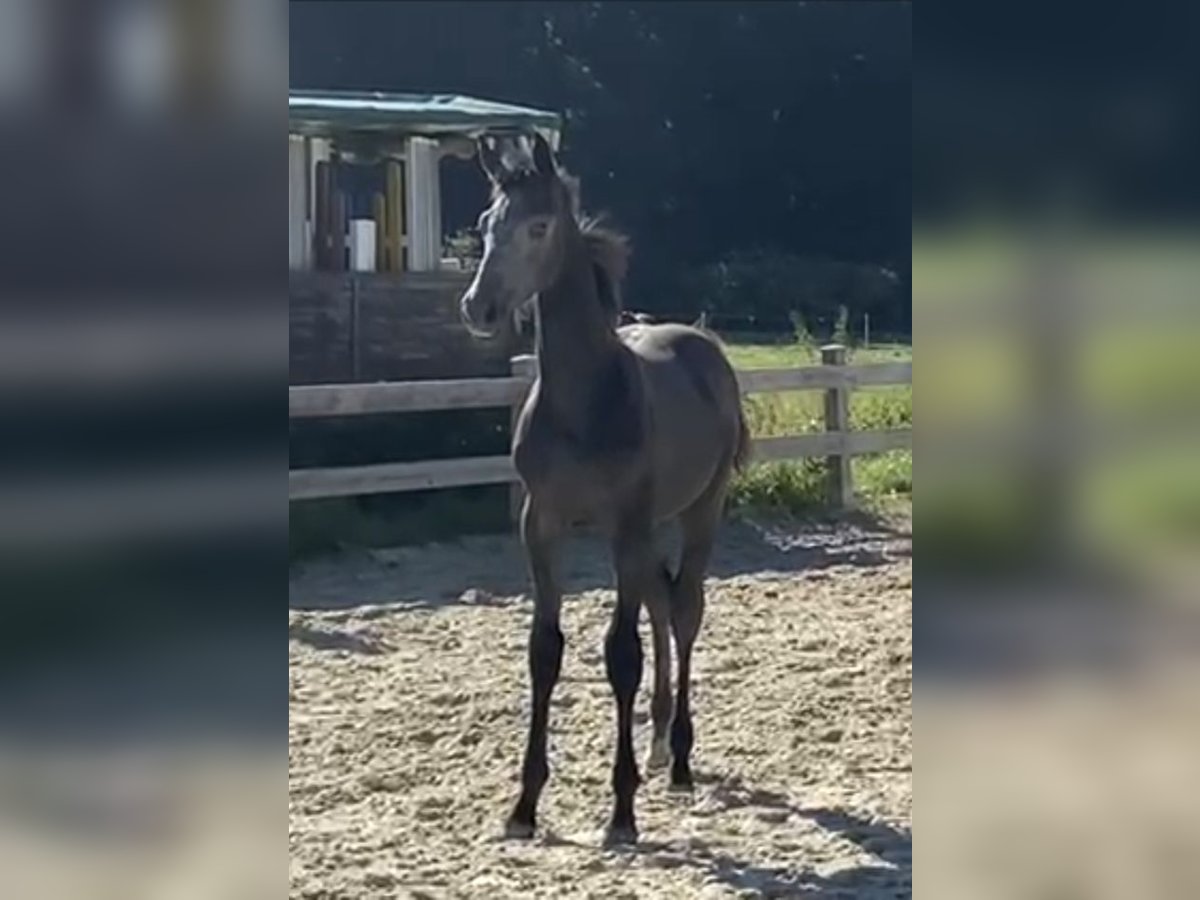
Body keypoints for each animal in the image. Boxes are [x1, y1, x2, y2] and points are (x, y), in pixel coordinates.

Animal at [460, 132, 748, 844]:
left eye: (538, 226)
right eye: (485, 223)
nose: (477, 308)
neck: (583, 401)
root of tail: (703, 341)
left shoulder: (625, 525)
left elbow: (621, 653)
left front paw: (621, 812)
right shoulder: (541, 523)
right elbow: (545, 651)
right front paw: (524, 805)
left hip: (698, 510)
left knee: (685, 610)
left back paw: (678, 758)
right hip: (649, 530)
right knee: (662, 604)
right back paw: (656, 744)